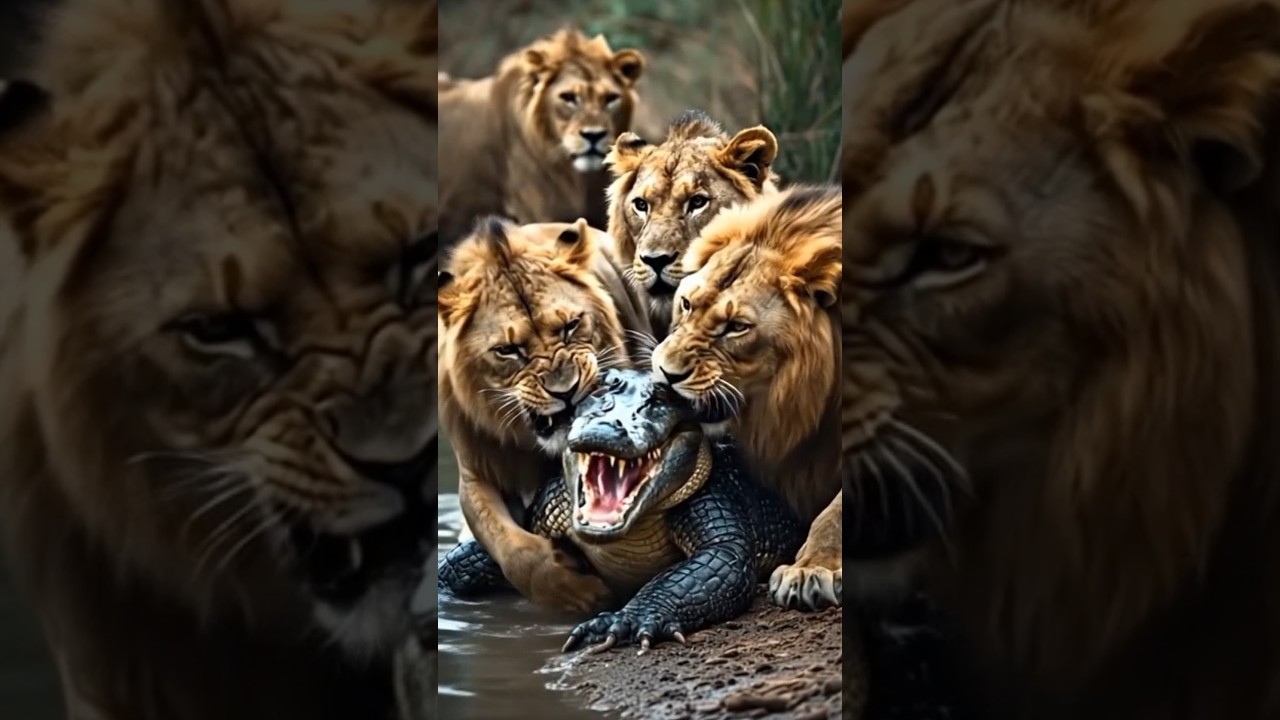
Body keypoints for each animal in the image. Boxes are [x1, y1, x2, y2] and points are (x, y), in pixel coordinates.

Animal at [438, 215, 652, 614]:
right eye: (508, 350)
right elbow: (513, 549)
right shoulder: (475, 474)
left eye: (570, 325)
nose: (565, 391)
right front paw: (575, 592)